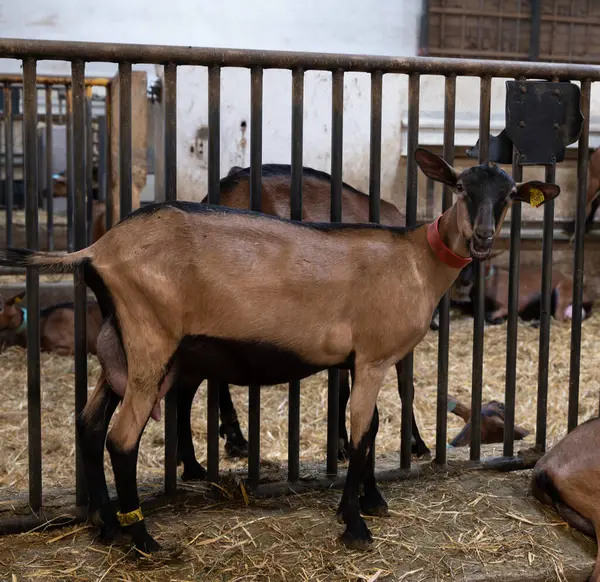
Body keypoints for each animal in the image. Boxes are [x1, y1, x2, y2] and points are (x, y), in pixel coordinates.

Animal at [0, 148, 560, 556]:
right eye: (461, 187)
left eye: (511, 195)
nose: (482, 238)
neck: (415, 258)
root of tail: (96, 250)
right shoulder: (374, 357)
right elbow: (363, 433)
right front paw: (355, 523)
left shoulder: (358, 360)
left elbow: (366, 427)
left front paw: (370, 501)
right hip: (149, 340)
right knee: (121, 438)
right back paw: (143, 540)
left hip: (119, 346)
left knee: (90, 424)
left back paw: (106, 526)